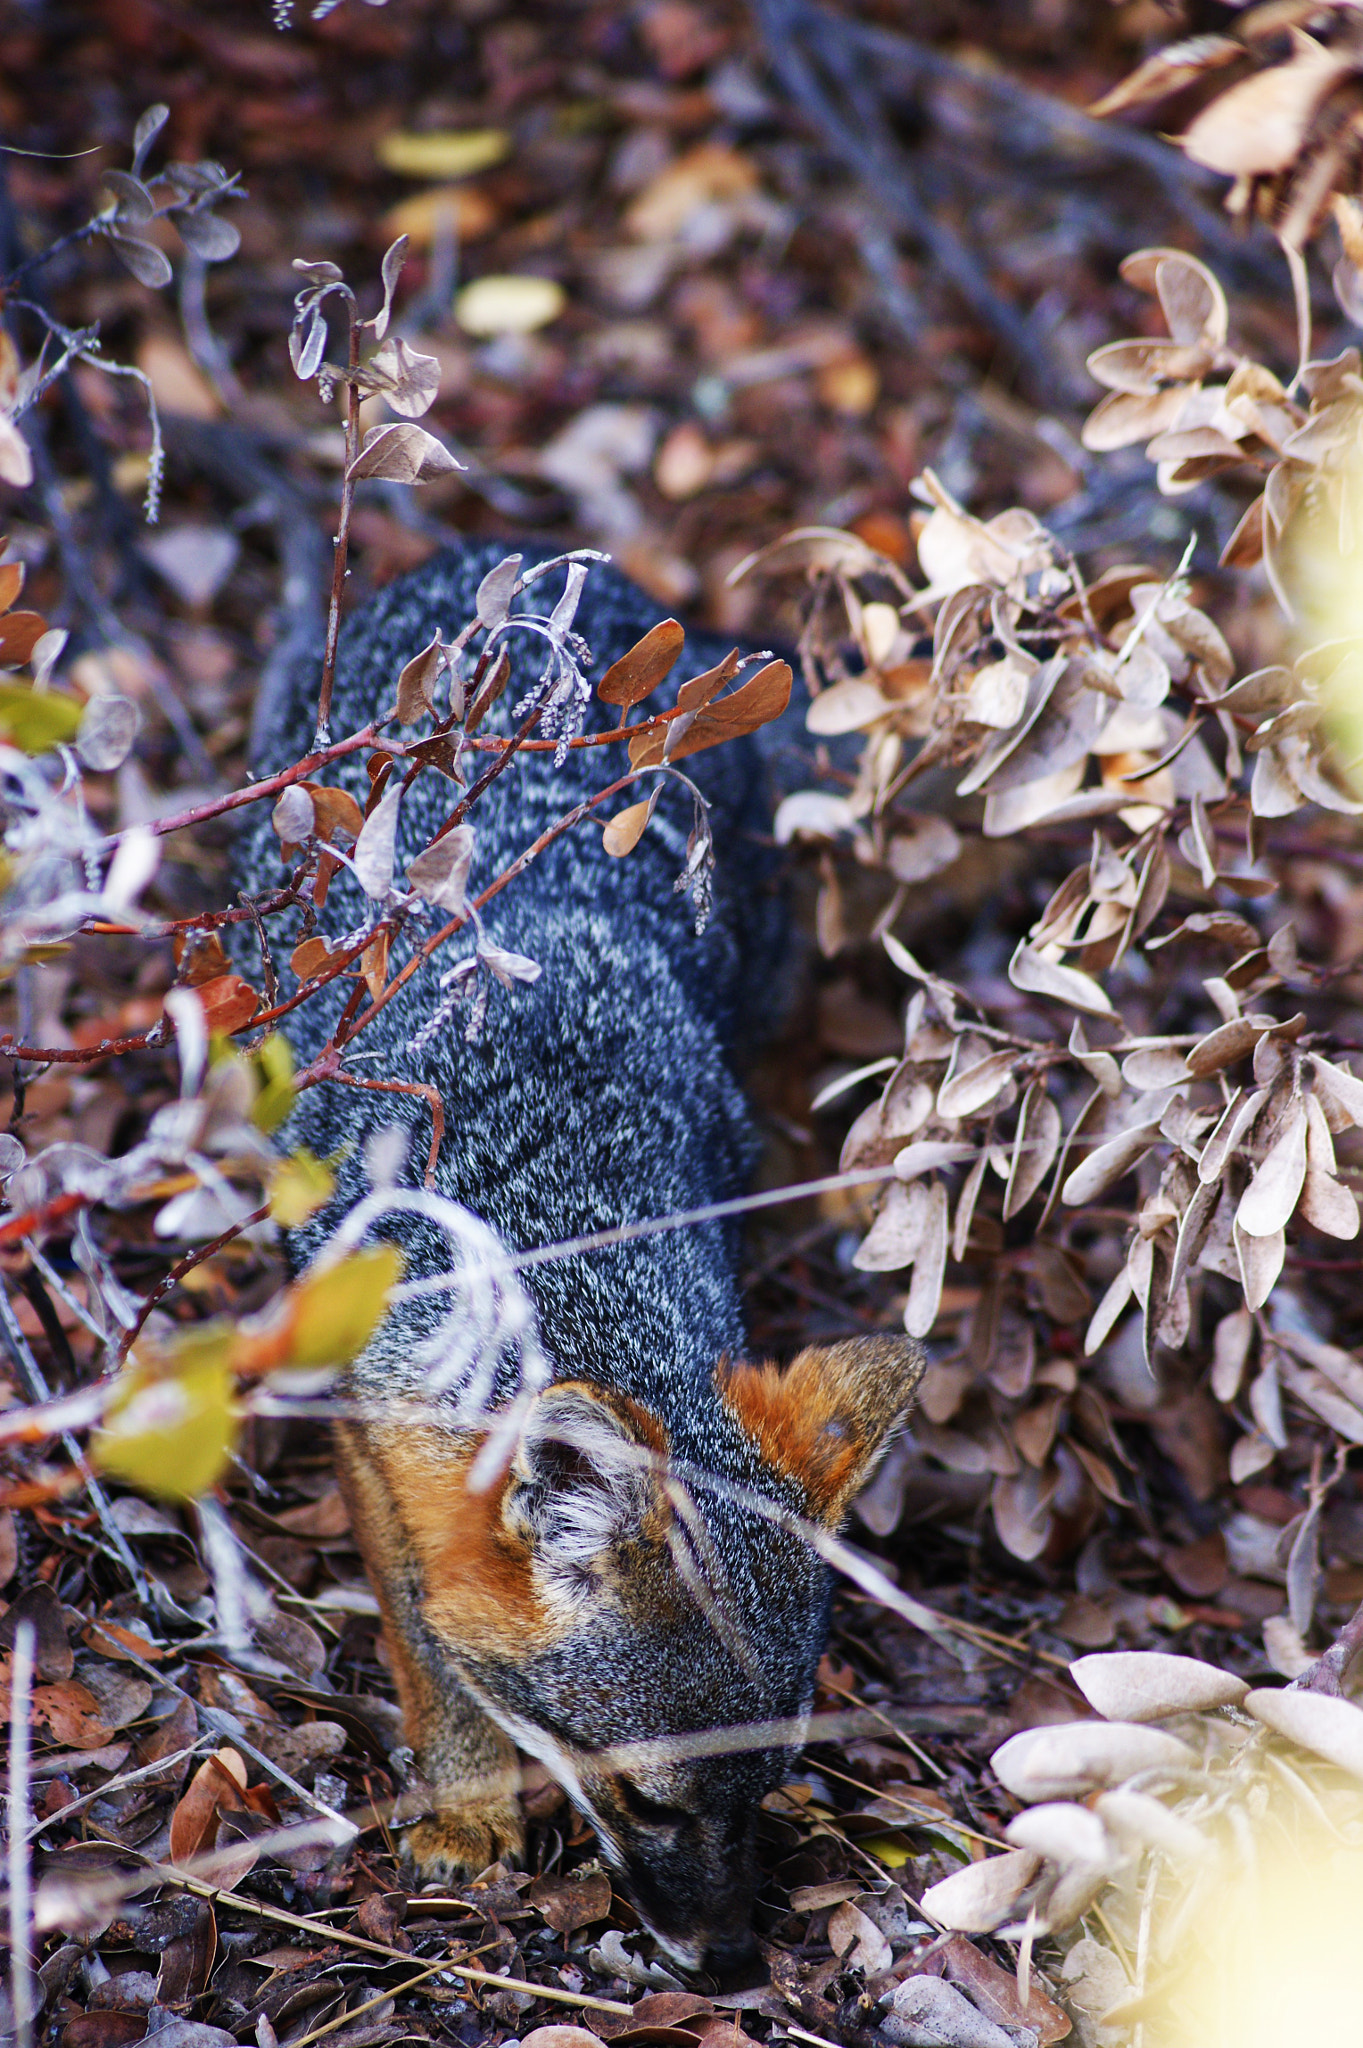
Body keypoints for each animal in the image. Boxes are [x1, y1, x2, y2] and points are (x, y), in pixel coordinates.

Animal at [237, 540, 924, 1975]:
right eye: (646, 1800)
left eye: (771, 1787)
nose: (726, 1964)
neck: (568, 1227)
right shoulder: (370, 1435)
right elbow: (428, 1636)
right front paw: (466, 1798)